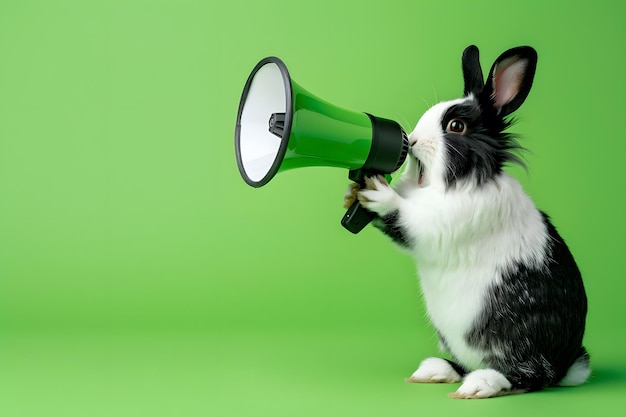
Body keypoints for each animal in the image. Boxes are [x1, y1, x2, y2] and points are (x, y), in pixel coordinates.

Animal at [344, 44, 588, 396]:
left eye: (456, 126)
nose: (412, 141)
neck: (457, 183)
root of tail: (568, 364)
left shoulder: (443, 222)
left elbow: (405, 220)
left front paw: (378, 194)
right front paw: (353, 192)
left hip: (520, 342)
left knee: (529, 377)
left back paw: (480, 385)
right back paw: (436, 371)